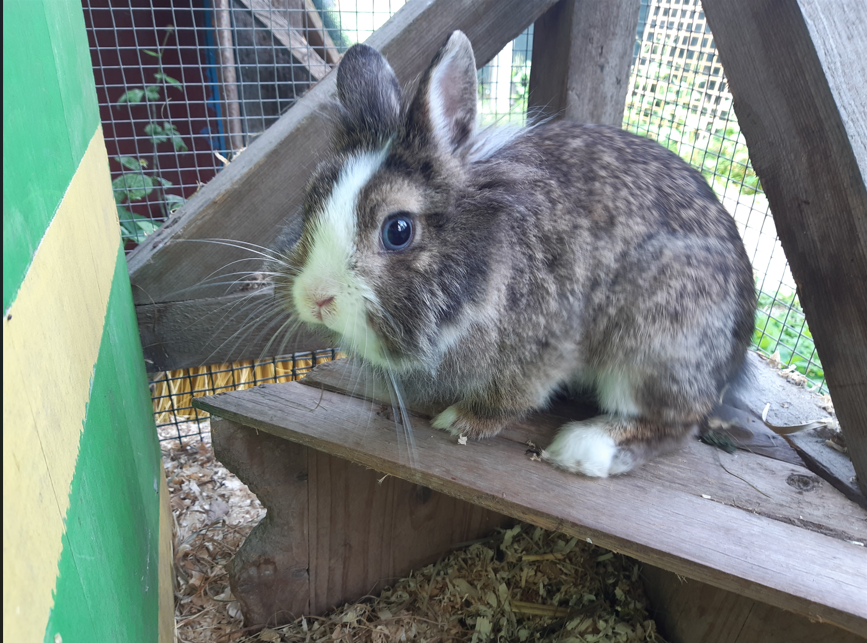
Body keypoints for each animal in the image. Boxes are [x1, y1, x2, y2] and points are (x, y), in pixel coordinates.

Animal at [272, 31, 756, 477]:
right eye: (312, 199)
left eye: (398, 230)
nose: (316, 298)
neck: (486, 261)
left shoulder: (545, 347)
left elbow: (511, 398)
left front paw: (462, 421)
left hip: (653, 341)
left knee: (678, 424)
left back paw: (585, 449)